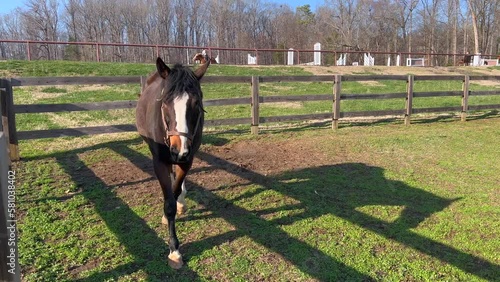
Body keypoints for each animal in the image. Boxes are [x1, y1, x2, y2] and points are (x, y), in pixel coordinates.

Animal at [135, 55, 209, 268]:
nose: (179, 149)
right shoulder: (160, 162)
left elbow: (174, 195)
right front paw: (174, 250)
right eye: (165, 103)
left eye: (196, 103)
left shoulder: (187, 160)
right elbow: (168, 203)